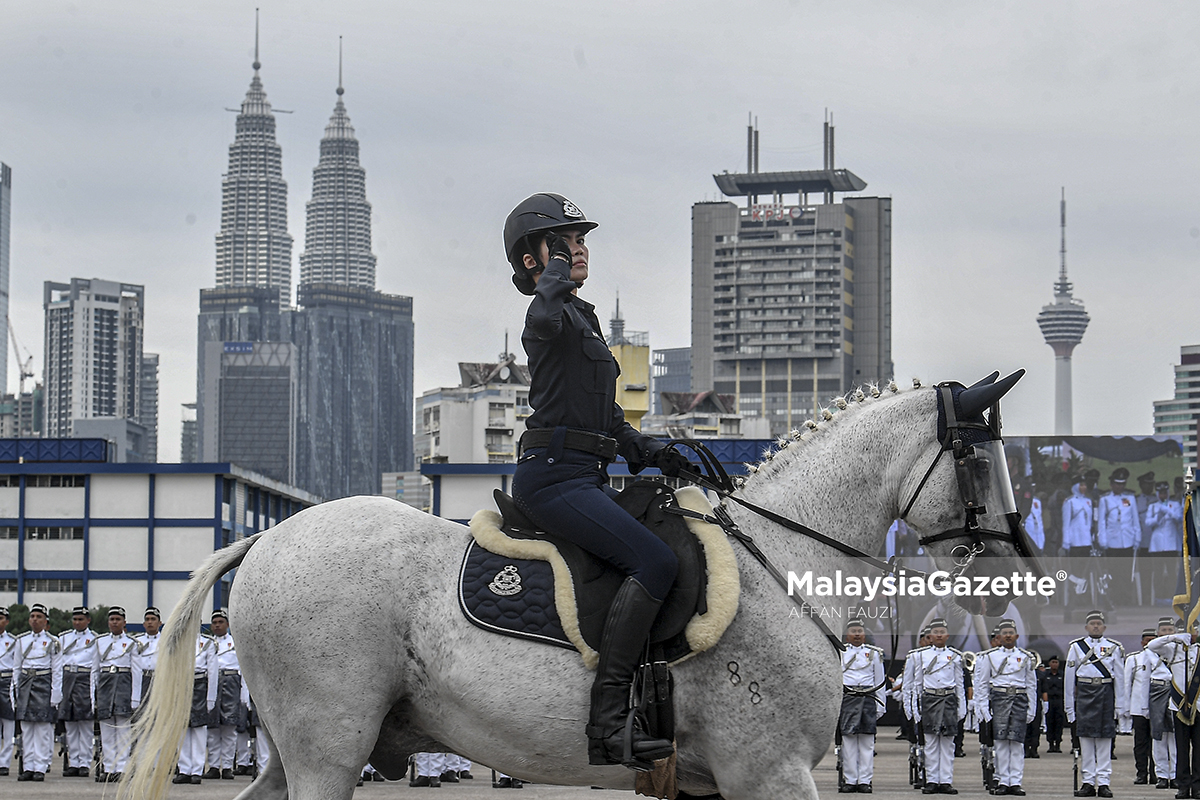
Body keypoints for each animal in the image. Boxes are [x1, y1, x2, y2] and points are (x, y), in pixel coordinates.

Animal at [124, 376, 1032, 800]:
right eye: (980, 460)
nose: (1006, 581)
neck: (778, 550)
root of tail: (271, 535)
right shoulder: (767, 771)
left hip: (303, 749)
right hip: (328, 749)